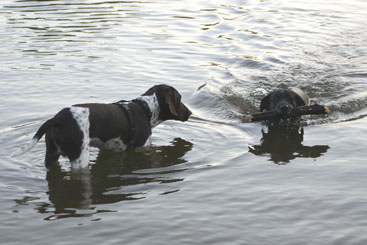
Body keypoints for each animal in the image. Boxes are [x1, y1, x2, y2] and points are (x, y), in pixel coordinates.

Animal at [11, 84, 193, 168]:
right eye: (179, 98)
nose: (190, 113)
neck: (145, 108)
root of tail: (58, 118)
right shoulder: (141, 148)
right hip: (80, 159)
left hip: (51, 156)